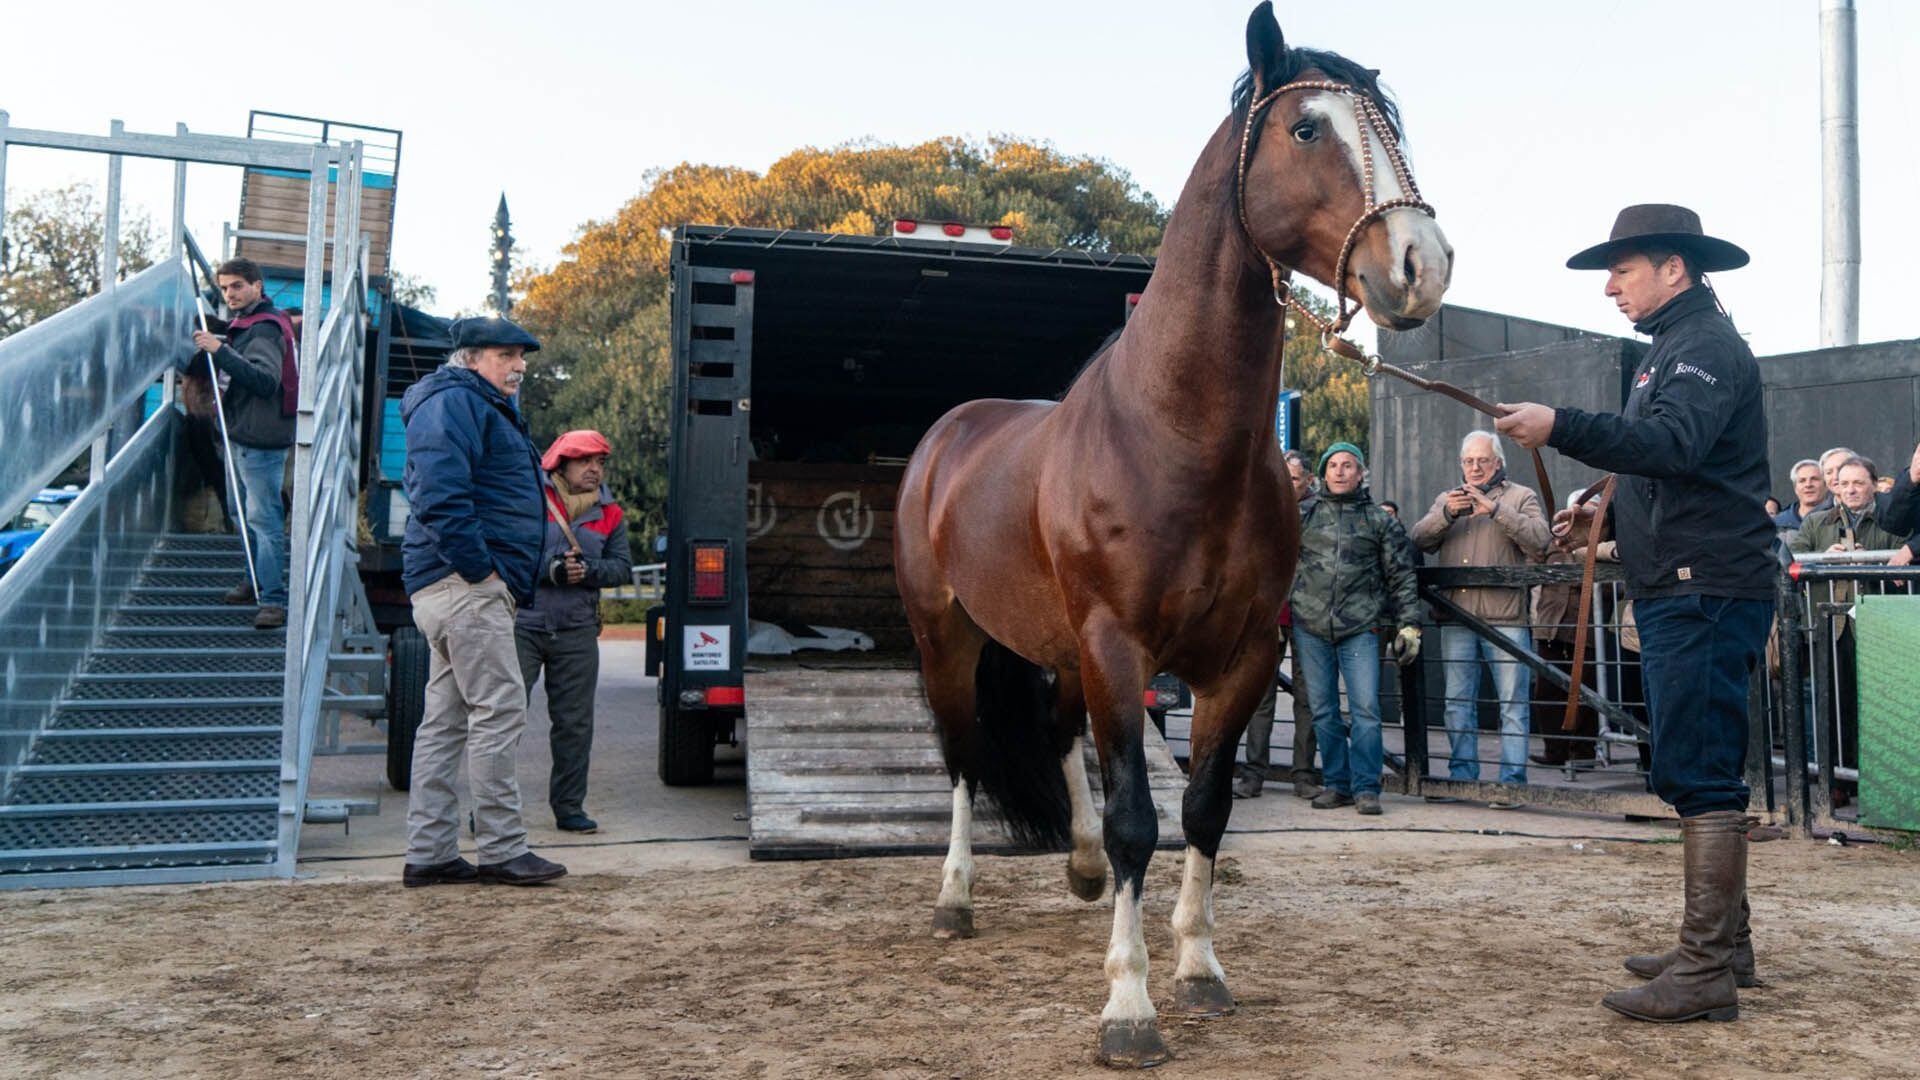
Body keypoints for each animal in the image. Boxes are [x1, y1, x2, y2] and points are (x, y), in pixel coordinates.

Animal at [890, 0, 1443, 1060]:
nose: (1420, 267)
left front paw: (1197, 968)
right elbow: (1140, 821)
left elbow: (1202, 808)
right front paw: (1129, 1008)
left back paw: (1077, 870)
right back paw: (954, 900)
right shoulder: (1120, 648)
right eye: (1305, 128)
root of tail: (948, 435)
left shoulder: (1238, 657)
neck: (1173, 436)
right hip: (949, 636)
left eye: (1397, 133)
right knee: (965, 758)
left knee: (1058, 740)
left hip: (1062, 650)